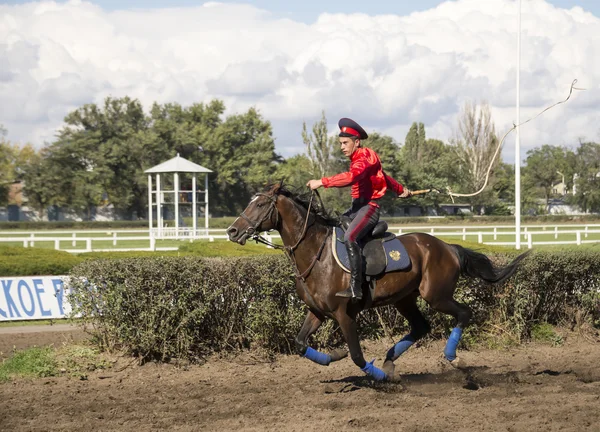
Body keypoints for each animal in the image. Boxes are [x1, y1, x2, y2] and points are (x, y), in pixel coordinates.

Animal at [227, 184, 528, 380]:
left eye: (260, 204)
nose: (232, 231)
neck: (316, 254)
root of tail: (448, 247)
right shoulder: (317, 311)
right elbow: (300, 343)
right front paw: (333, 356)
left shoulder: (343, 314)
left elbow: (357, 355)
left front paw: (379, 378)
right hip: (405, 299)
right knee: (421, 327)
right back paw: (390, 360)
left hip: (436, 296)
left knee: (464, 313)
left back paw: (451, 357)